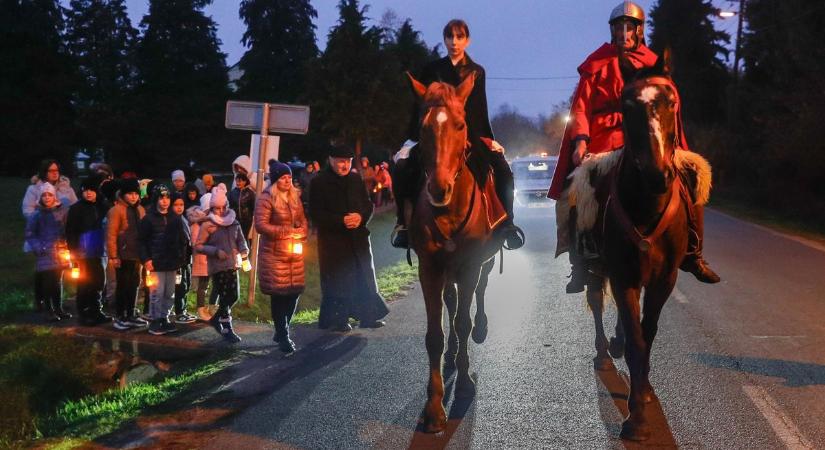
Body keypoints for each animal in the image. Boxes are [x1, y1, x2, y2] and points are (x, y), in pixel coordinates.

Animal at [406, 73, 502, 432]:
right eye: (422, 127)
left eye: (461, 125)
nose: (438, 187)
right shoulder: (429, 268)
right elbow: (435, 333)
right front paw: (434, 407)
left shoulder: (471, 264)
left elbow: (462, 322)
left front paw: (463, 385)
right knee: (451, 299)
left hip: (483, 261)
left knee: (481, 290)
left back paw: (481, 328)